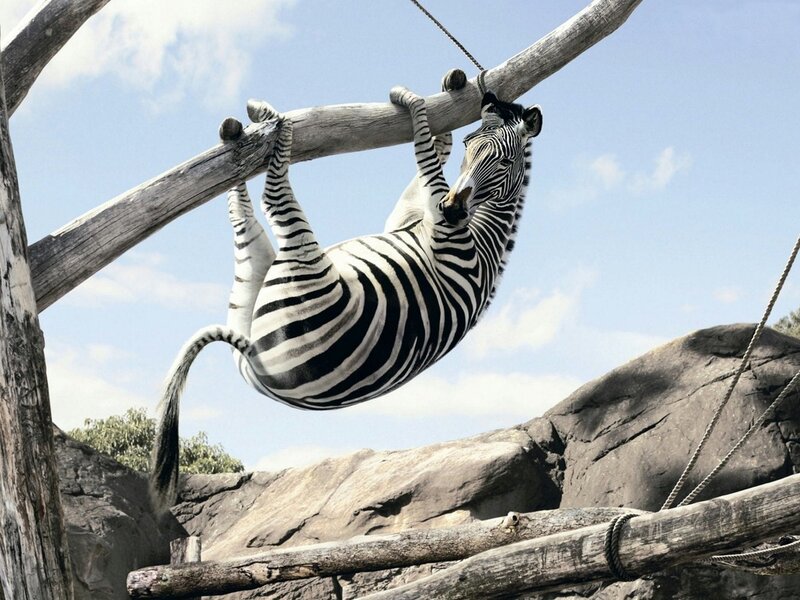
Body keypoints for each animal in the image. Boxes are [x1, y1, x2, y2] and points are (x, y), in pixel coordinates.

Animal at [150, 69, 542, 509]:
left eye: (504, 161)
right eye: (470, 146)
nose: (454, 207)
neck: (483, 235)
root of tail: (255, 359)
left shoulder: (443, 231)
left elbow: (424, 155)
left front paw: (409, 100)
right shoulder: (408, 217)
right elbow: (429, 157)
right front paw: (440, 97)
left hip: (299, 263)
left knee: (273, 196)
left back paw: (272, 122)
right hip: (249, 284)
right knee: (242, 212)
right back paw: (238, 141)